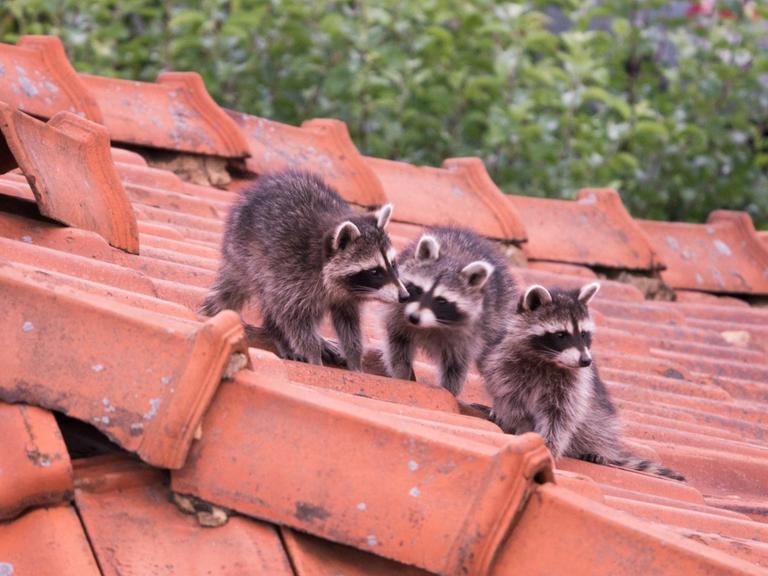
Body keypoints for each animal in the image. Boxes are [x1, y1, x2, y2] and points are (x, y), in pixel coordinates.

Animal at [201, 169, 412, 372]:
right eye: (375, 272)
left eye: (393, 264)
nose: (404, 296)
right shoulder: (292, 272)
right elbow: (293, 317)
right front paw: (313, 354)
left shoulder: (345, 296)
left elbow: (349, 323)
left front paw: (355, 359)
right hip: (249, 257)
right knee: (271, 301)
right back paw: (278, 335)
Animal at [384, 227, 516, 398]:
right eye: (418, 290)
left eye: (441, 300)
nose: (414, 318)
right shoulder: (398, 313)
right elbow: (398, 345)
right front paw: (402, 374)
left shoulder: (470, 334)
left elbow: (455, 366)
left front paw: (449, 391)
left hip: (498, 318)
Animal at [484, 282, 688, 482]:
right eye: (560, 335)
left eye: (583, 334)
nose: (586, 361)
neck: (548, 360)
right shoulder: (506, 367)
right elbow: (512, 402)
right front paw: (521, 427)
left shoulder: (574, 384)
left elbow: (561, 416)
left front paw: (549, 446)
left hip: (600, 419)